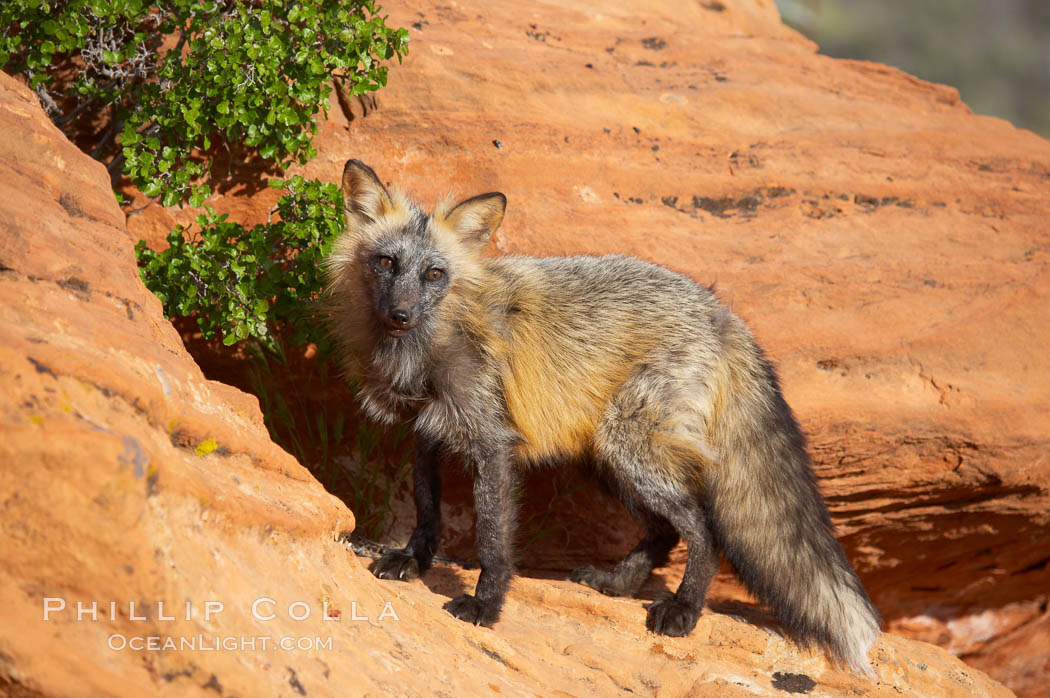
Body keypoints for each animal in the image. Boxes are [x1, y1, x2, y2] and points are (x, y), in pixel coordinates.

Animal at [323, 160, 881, 671]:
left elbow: (492, 539)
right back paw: (617, 583)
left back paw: (684, 608)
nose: (400, 316)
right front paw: (412, 562)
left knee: (704, 530)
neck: (429, 347)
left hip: (628, 450)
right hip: (608, 462)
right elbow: (426, 511)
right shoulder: (426, 433)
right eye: (385, 263)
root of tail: (724, 313)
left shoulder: (493, 443)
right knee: (666, 532)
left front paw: (487, 605)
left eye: (435, 274)